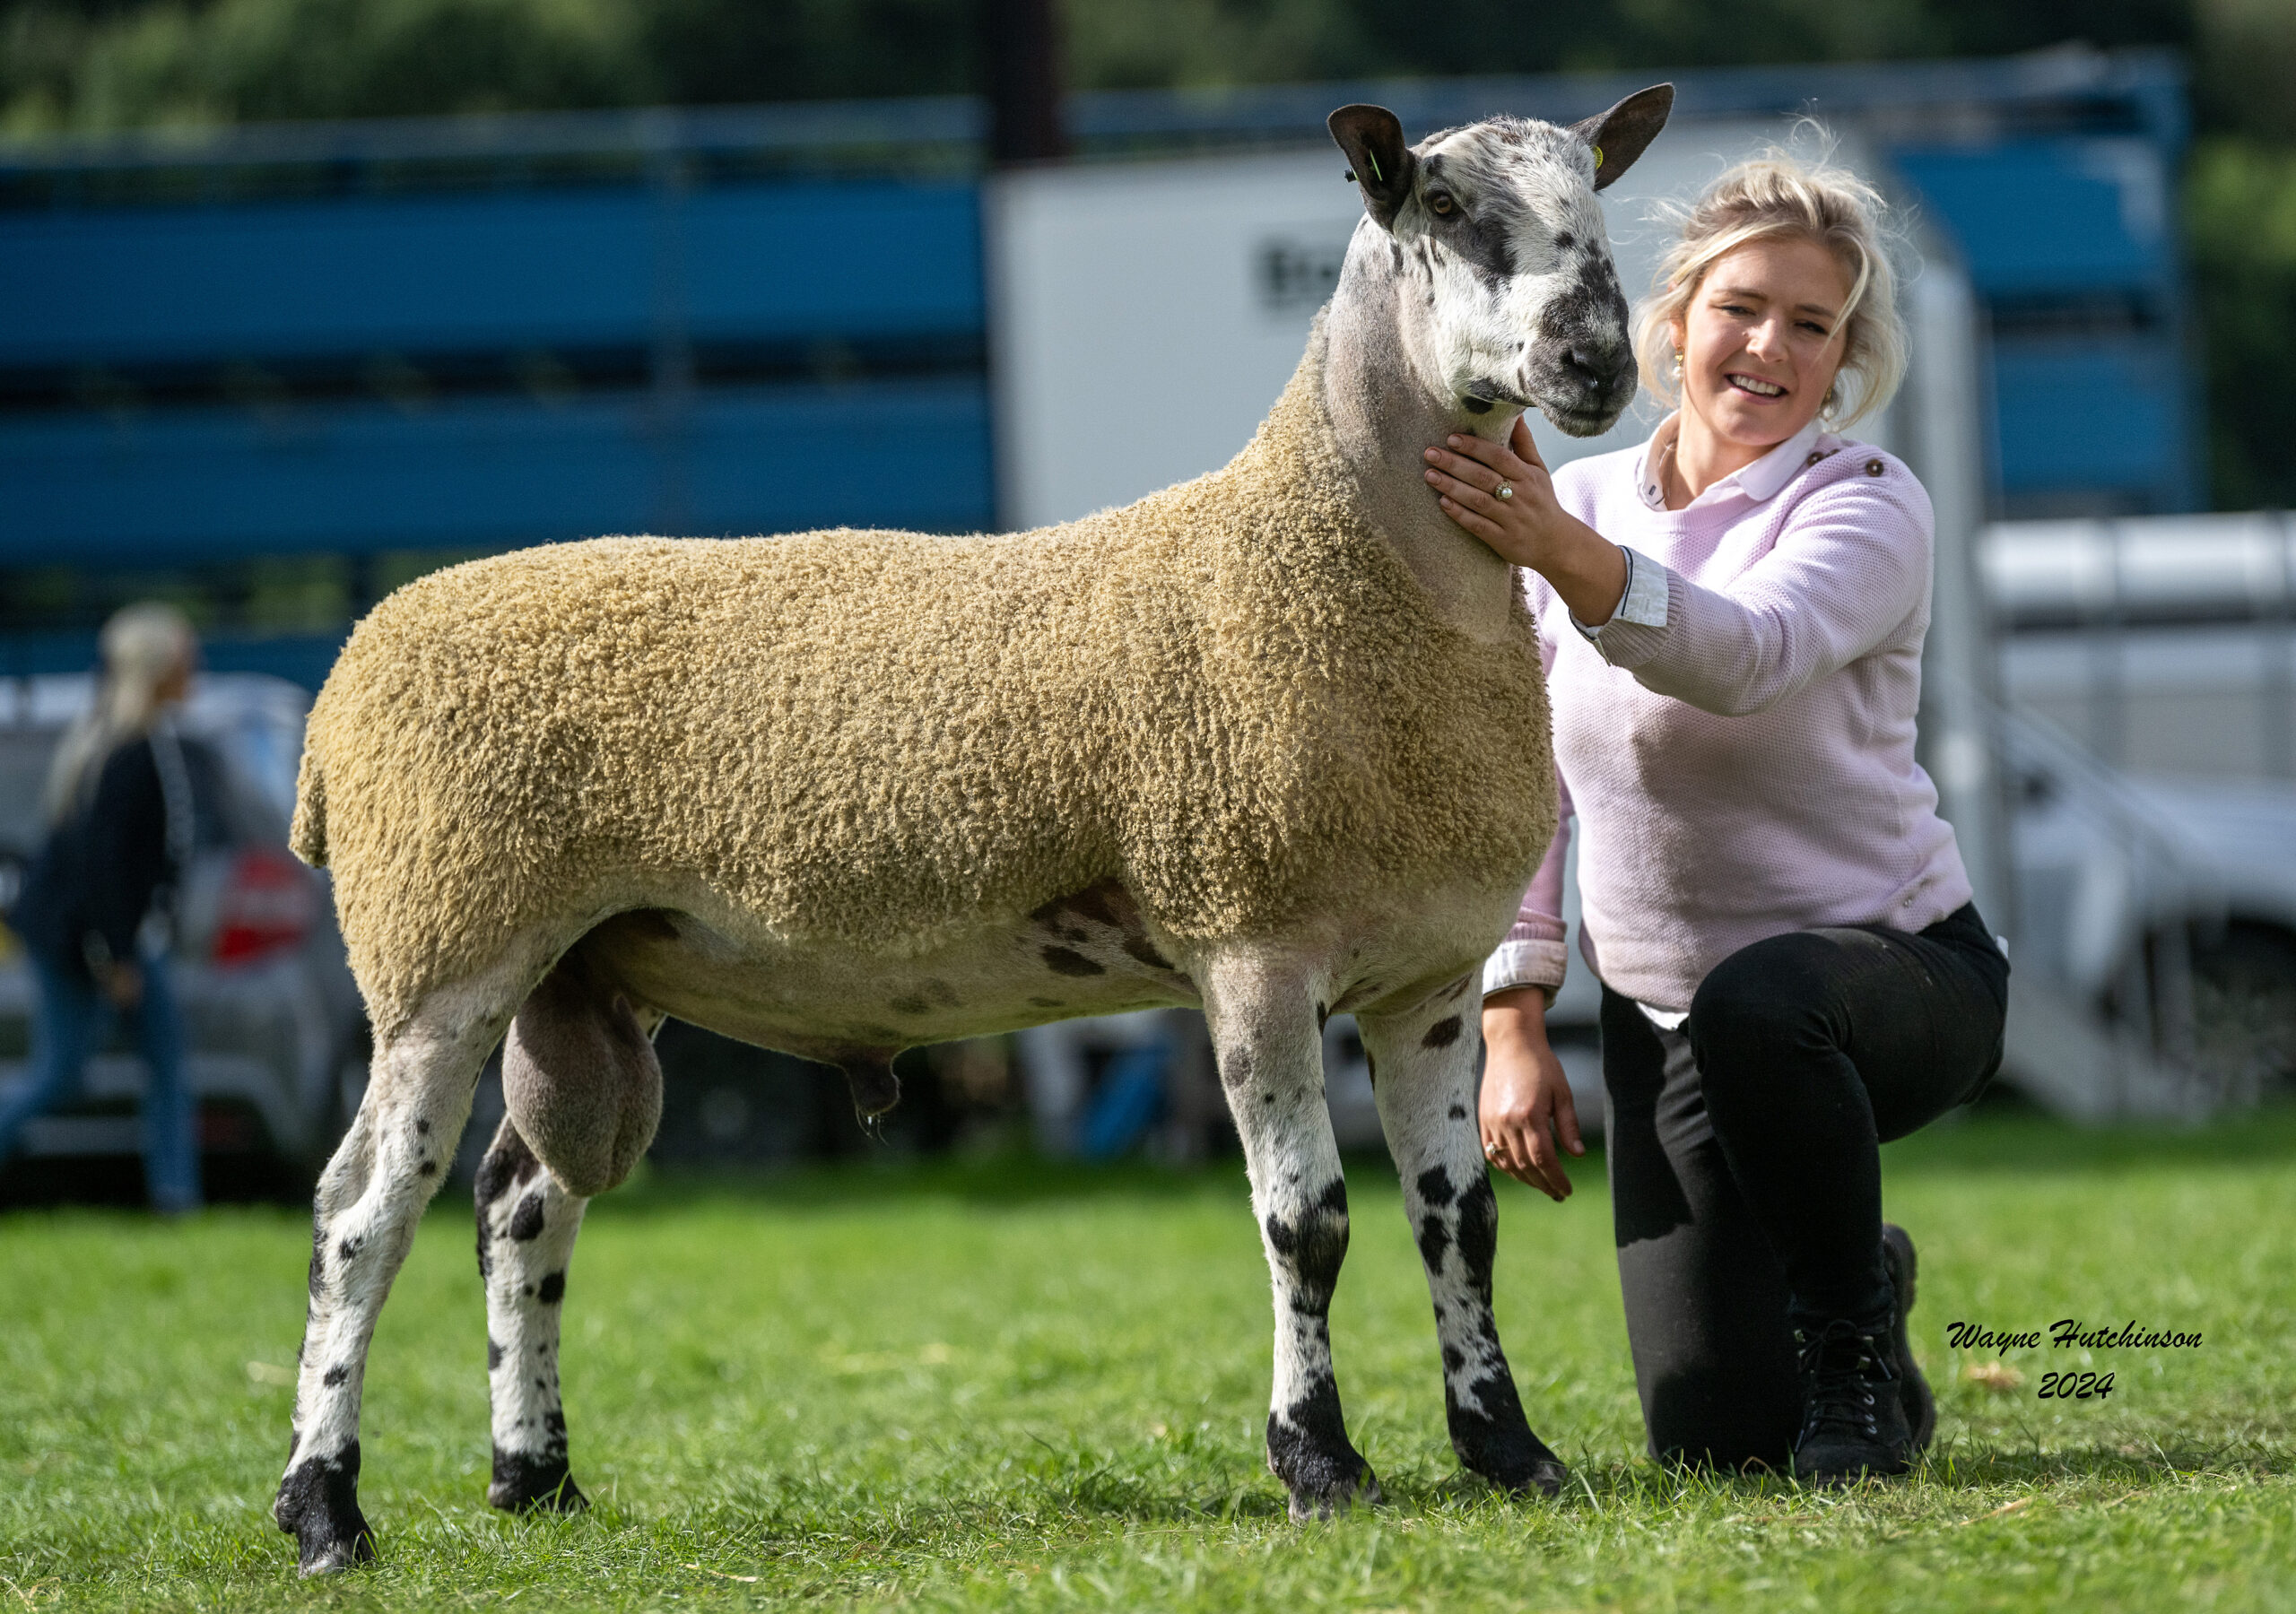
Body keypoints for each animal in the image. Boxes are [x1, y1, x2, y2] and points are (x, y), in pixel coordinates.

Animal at [273, 82, 1671, 1570]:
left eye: (1594, 188)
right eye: (1445, 205)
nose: (1596, 359)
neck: (1338, 557)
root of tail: (346, 685)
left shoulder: (1429, 976)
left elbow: (1458, 1224)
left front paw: (1508, 1451)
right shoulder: (1251, 939)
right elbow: (1308, 1225)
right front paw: (1319, 1464)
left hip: (590, 960)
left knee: (520, 1206)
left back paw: (535, 1479)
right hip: (443, 942)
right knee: (362, 1215)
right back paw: (324, 1510)